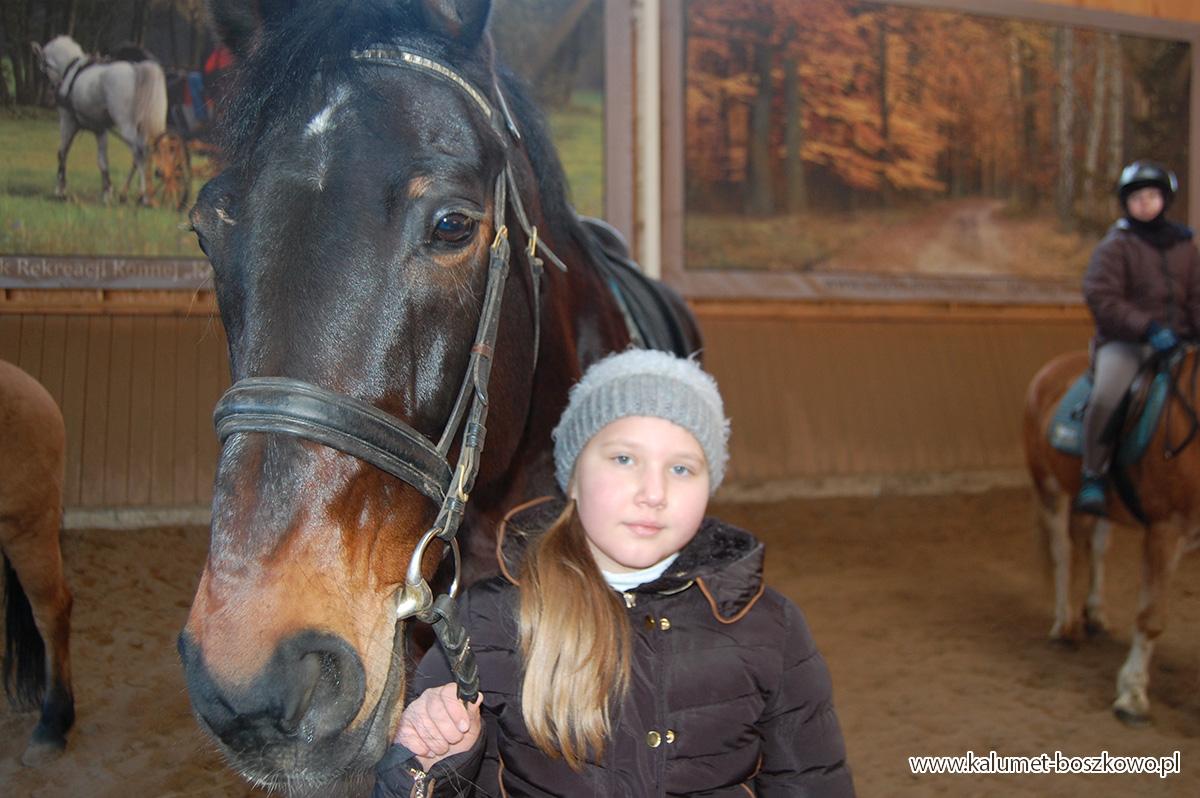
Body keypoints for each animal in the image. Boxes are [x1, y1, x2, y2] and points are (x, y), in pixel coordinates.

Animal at [31, 35, 167, 205]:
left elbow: (62, 152)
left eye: (43, 64)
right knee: (144, 153)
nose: (52, 91)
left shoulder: (68, 121)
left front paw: (60, 190)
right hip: (142, 127)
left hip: (127, 127)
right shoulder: (100, 130)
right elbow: (102, 161)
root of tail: (136, 69)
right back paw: (128, 194)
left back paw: (143, 195)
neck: (71, 71)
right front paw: (107, 193)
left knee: (140, 152)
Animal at [1023, 347, 1200, 724]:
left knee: (1097, 548)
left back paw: (1095, 614)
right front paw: (1131, 697)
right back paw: (1064, 625)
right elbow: (1151, 617)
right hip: (1049, 487)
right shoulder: (1166, 530)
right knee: (1063, 551)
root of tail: (1051, 368)